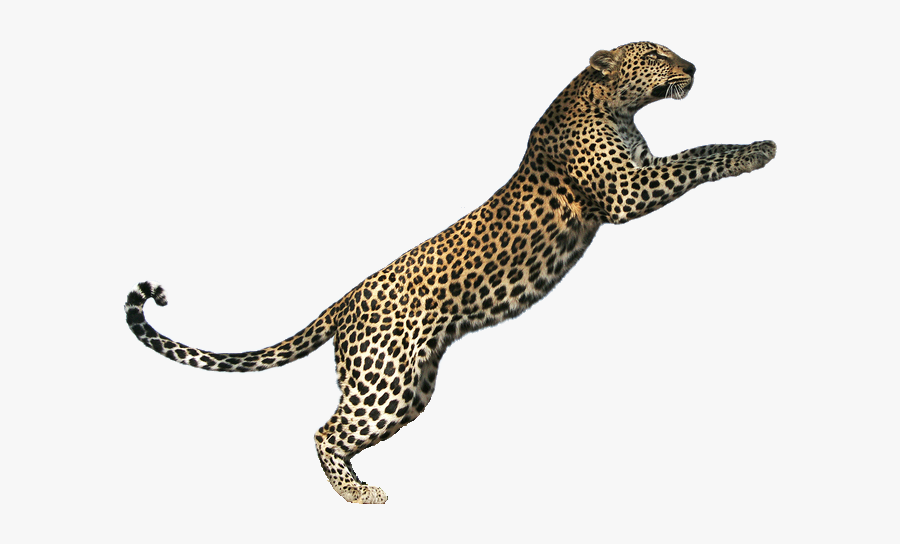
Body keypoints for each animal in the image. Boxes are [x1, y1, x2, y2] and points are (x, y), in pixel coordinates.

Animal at [125, 41, 776, 504]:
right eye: (657, 54)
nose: (693, 65)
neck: (613, 104)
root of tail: (344, 300)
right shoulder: (626, 191)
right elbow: (701, 154)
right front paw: (757, 150)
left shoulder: (638, 173)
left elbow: (693, 152)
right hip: (384, 381)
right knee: (323, 432)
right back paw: (359, 496)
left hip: (411, 386)